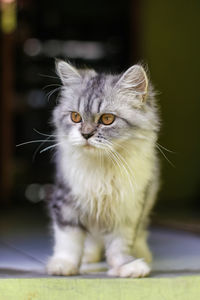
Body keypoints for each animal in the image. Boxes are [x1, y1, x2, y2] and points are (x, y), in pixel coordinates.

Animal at [46, 59, 160, 278]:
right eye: (75, 117)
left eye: (107, 119)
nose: (86, 134)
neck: (102, 167)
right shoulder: (66, 201)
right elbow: (68, 240)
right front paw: (63, 266)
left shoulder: (127, 211)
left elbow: (119, 247)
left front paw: (126, 267)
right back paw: (88, 257)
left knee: (140, 234)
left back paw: (143, 254)